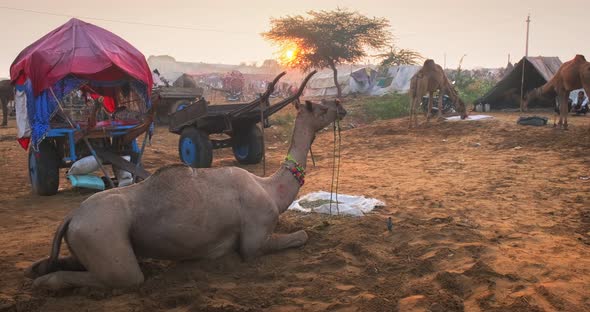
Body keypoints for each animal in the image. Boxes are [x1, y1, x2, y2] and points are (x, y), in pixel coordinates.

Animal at [25, 99, 346, 290]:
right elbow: (299, 236)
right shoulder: (254, 239)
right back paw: (44, 283)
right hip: (103, 233)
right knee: (124, 277)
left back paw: (36, 271)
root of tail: (71, 217)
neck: (270, 188)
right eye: (320, 107)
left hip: (88, 238)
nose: (340, 105)